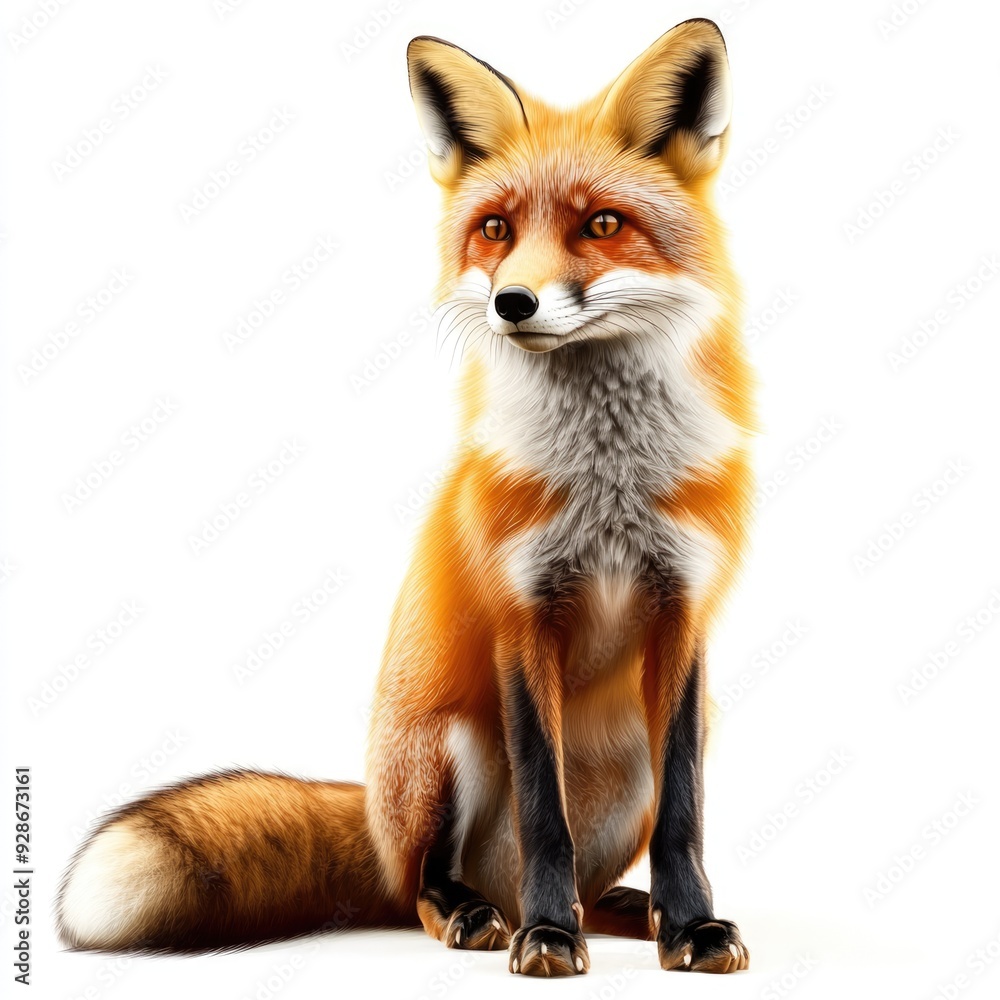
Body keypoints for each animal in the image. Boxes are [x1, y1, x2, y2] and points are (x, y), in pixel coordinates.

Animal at [58, 19, 756, 977]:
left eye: (603, 225)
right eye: (496, 229)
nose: (514, 302)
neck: (605, 486)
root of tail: (376, 821)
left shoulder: (683, 614)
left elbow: (686, 816)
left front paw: (692, 926)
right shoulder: (521, 615)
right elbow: (545, 813)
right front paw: (549, 937)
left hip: (641, 761)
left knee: (597, 861)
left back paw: (626, 909)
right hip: (447, 747)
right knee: (424, 885)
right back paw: (487, 912)